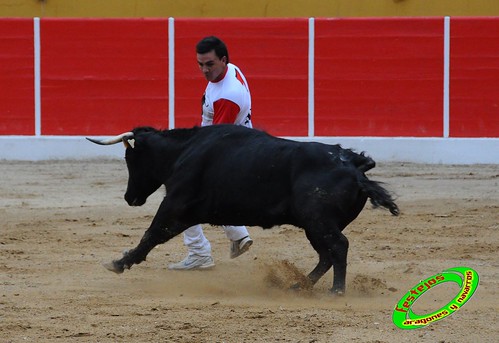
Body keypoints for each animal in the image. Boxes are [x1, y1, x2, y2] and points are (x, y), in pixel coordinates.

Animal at [86, 125, 398, 294]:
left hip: (318, 221)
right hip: (314, 226)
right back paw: (298, 286)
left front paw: (119, 262)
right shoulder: (185, 212)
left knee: (339, 247)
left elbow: (152, 234)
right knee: (326, 255)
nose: (130, 198)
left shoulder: (174, 205)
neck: (184, 151)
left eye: (130, 158)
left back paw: (336, 290)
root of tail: (354, 165)